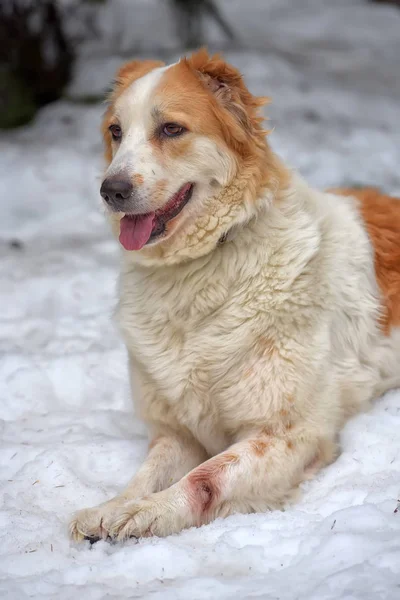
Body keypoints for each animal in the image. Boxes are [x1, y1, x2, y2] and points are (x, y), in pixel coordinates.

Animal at [69, 49, 400, 540]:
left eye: (171, 129)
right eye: (116, 131)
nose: (111, 190)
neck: (200, 268)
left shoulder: (290, 435)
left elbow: (205, 478)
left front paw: (150, 512)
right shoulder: (177, 432)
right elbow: (146, 473)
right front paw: (113, 506)